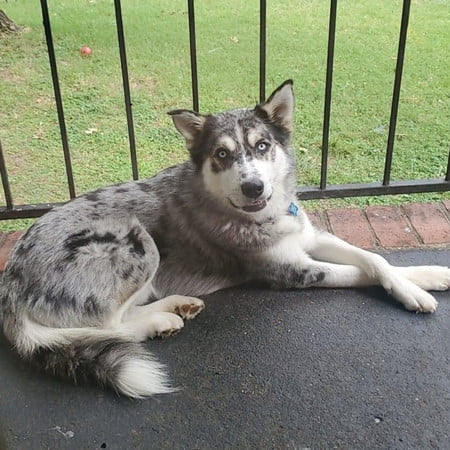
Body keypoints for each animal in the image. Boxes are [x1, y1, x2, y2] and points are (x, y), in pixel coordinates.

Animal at [0, 81, 450, 398]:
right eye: (221, 154)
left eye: (262, 146)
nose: (253, 187)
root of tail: (11, 282)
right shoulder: (292, 271)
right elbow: (360, 272)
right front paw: (415, 293)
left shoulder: (309, 237)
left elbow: (375, 259)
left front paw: (426, 277)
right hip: (137, 241)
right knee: (109, 325)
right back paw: (161, 319)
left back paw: (177, 305)